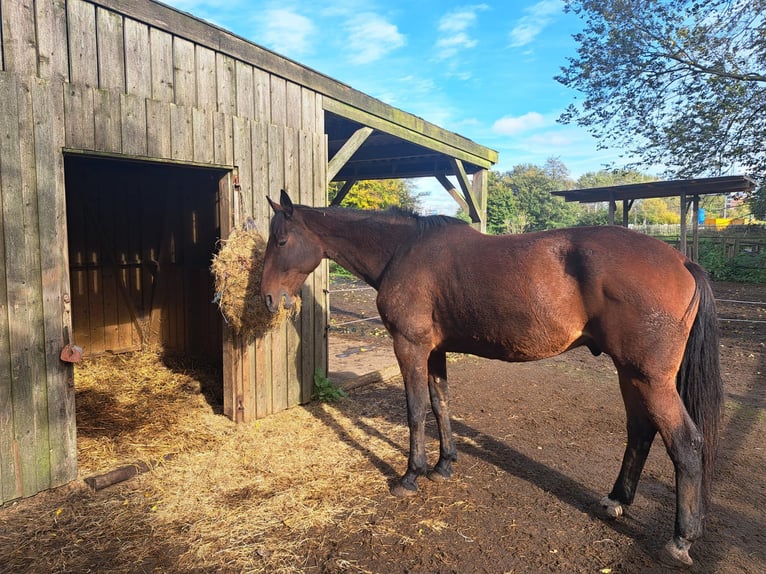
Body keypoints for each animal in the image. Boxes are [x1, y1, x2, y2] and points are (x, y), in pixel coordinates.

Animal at [260, 191, 724, 568]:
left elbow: (415, 411)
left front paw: (411, 475)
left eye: (280, 241)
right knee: (641, 431)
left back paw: (681, 540)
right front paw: (444, 465)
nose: (267, 298)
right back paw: (616, 501)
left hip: (650, 379)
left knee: (686, 443)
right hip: (631, 373)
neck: (404, 252)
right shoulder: (435, 351)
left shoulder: (410, 347)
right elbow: (440, 404)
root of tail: (681, 260)